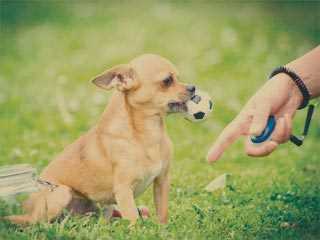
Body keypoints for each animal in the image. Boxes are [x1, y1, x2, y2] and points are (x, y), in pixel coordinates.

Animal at [5, 54, 195, 225]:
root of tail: (26, 209)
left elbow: (162, 212)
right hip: (61, 193)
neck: (148, 133)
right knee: (36, 223)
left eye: (178, 77)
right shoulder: (124, 191)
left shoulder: (162, 181)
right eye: (167, 81)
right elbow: (133, 219)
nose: (193, 87)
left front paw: (163, 230)